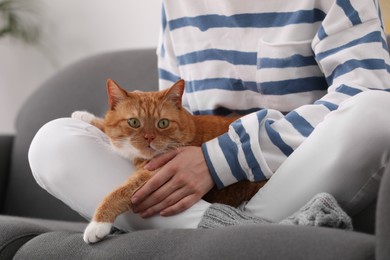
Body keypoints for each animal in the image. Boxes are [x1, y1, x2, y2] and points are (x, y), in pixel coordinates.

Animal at [72, 79, 266, 244]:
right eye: (134, 122)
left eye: (163, 123)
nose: (149, 137)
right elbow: (106, 127)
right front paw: (84, 117)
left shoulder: (157, 172)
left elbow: (119, 192)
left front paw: (98, 224)